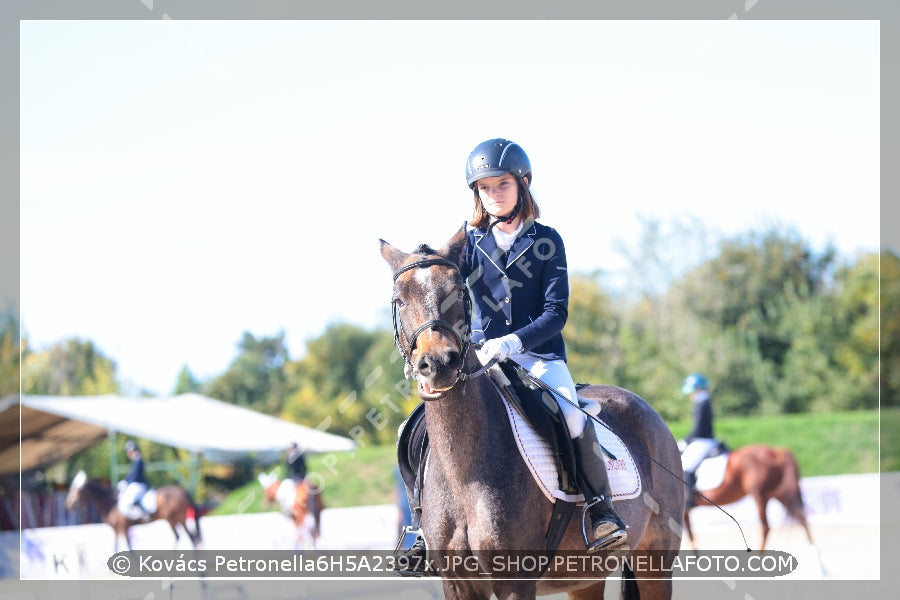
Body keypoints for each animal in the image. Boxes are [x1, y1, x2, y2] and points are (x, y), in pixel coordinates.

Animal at [65, 472, 202, 552]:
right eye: (72, 487)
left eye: (79, 489)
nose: (68, 504)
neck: (111, 503)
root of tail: (182, 491)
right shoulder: (116, 530)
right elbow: (115, 548)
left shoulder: (124, 527)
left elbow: (130, 550)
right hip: (180, 519)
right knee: (192, 539)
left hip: (172, 519)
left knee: (179, 537)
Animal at [380, 226, 684, 600]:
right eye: (399, 299)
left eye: (460, 292)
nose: (438, 364)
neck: (463, 471)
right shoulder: (458, 583)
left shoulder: (515, 581)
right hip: (586, 576)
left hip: (655, 561)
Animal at [684, 442, 816, 552]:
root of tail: (775, 453)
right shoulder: (685, 511)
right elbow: (690, 535)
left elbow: (688, 535)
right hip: (779, 493)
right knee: (801, 518)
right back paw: (812, 548)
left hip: (760, 496)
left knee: (765, 528)